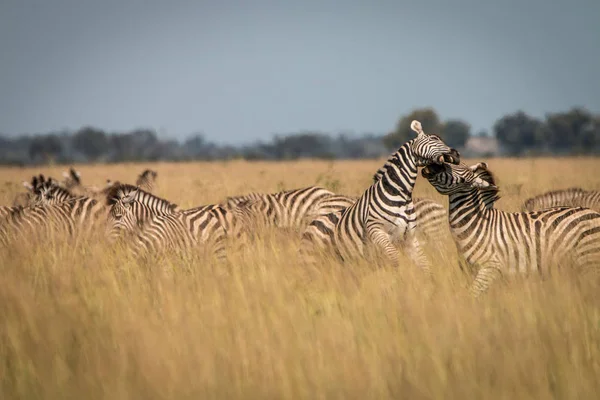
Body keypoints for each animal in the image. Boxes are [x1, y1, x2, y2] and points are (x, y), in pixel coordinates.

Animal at [300, 119, 460, 272]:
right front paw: (397, 277)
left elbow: (424, 264)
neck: (401, 195)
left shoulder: (409, 237)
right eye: (433, 139)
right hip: (313, 260)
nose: (456, 154)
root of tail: (310, 225)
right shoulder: (377, 230)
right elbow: (394, 258)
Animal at [420, 161, 600, 296]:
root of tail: (593, 213)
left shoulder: (490, 268)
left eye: (460, 174)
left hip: (589, 261)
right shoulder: (473, 271)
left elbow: (472, 296)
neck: (476, 224)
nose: (433, 163)